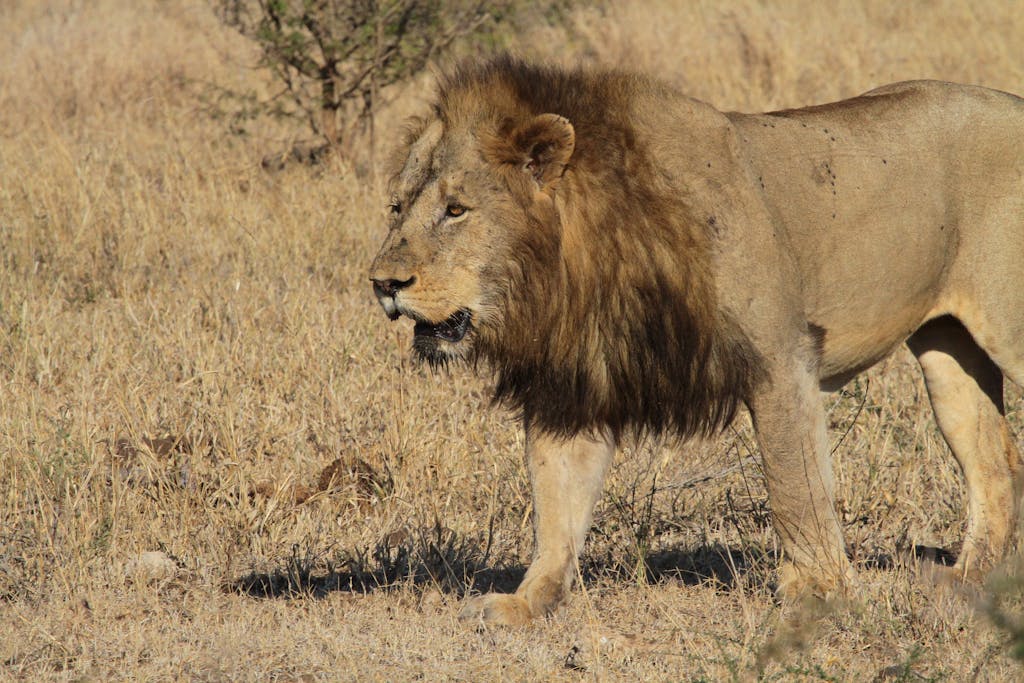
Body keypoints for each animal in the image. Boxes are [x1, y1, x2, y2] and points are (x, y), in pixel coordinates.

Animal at [370, 57, 1024, 626]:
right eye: (396, 207)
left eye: (456, 210)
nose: (382, 283)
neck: (575, 261)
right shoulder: (573, 385)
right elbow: (556, 507)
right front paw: (528, 602)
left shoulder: (781, 360)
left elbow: (795, 488)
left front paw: (819, 596)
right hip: (947, 350)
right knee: (992, 462)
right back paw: (966, 582)